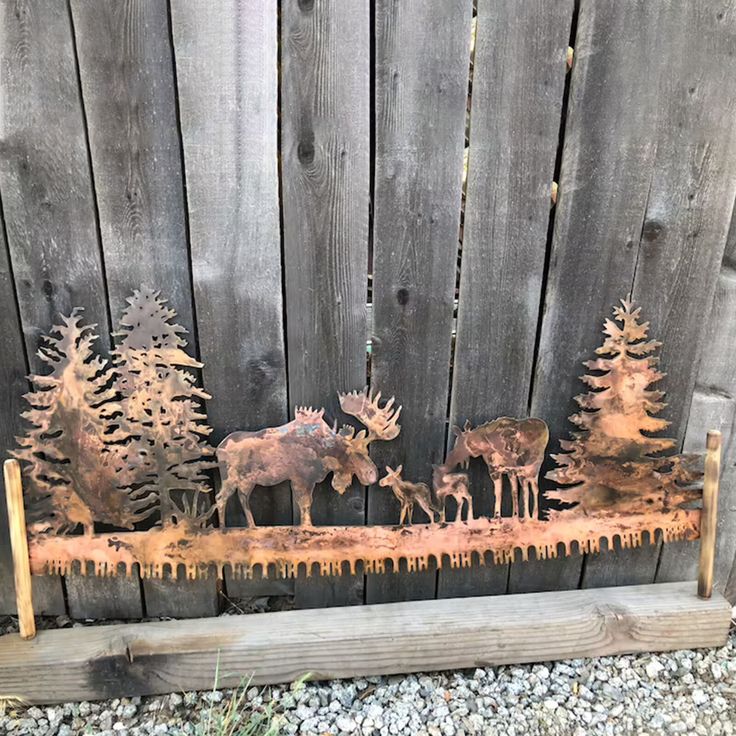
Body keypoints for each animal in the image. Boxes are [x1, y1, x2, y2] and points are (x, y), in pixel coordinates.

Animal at [216, 388, 402, 528]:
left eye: (367, 452)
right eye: (354, 453)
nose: (373, 474)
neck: (327, 453)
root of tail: (218, 449)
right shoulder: (302, 479)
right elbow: (305, 505)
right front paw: (306, 528)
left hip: (248, 481)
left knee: (242, 498)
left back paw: (252, 527)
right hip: (231, 479)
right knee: (221, 498)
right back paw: (224, 529)